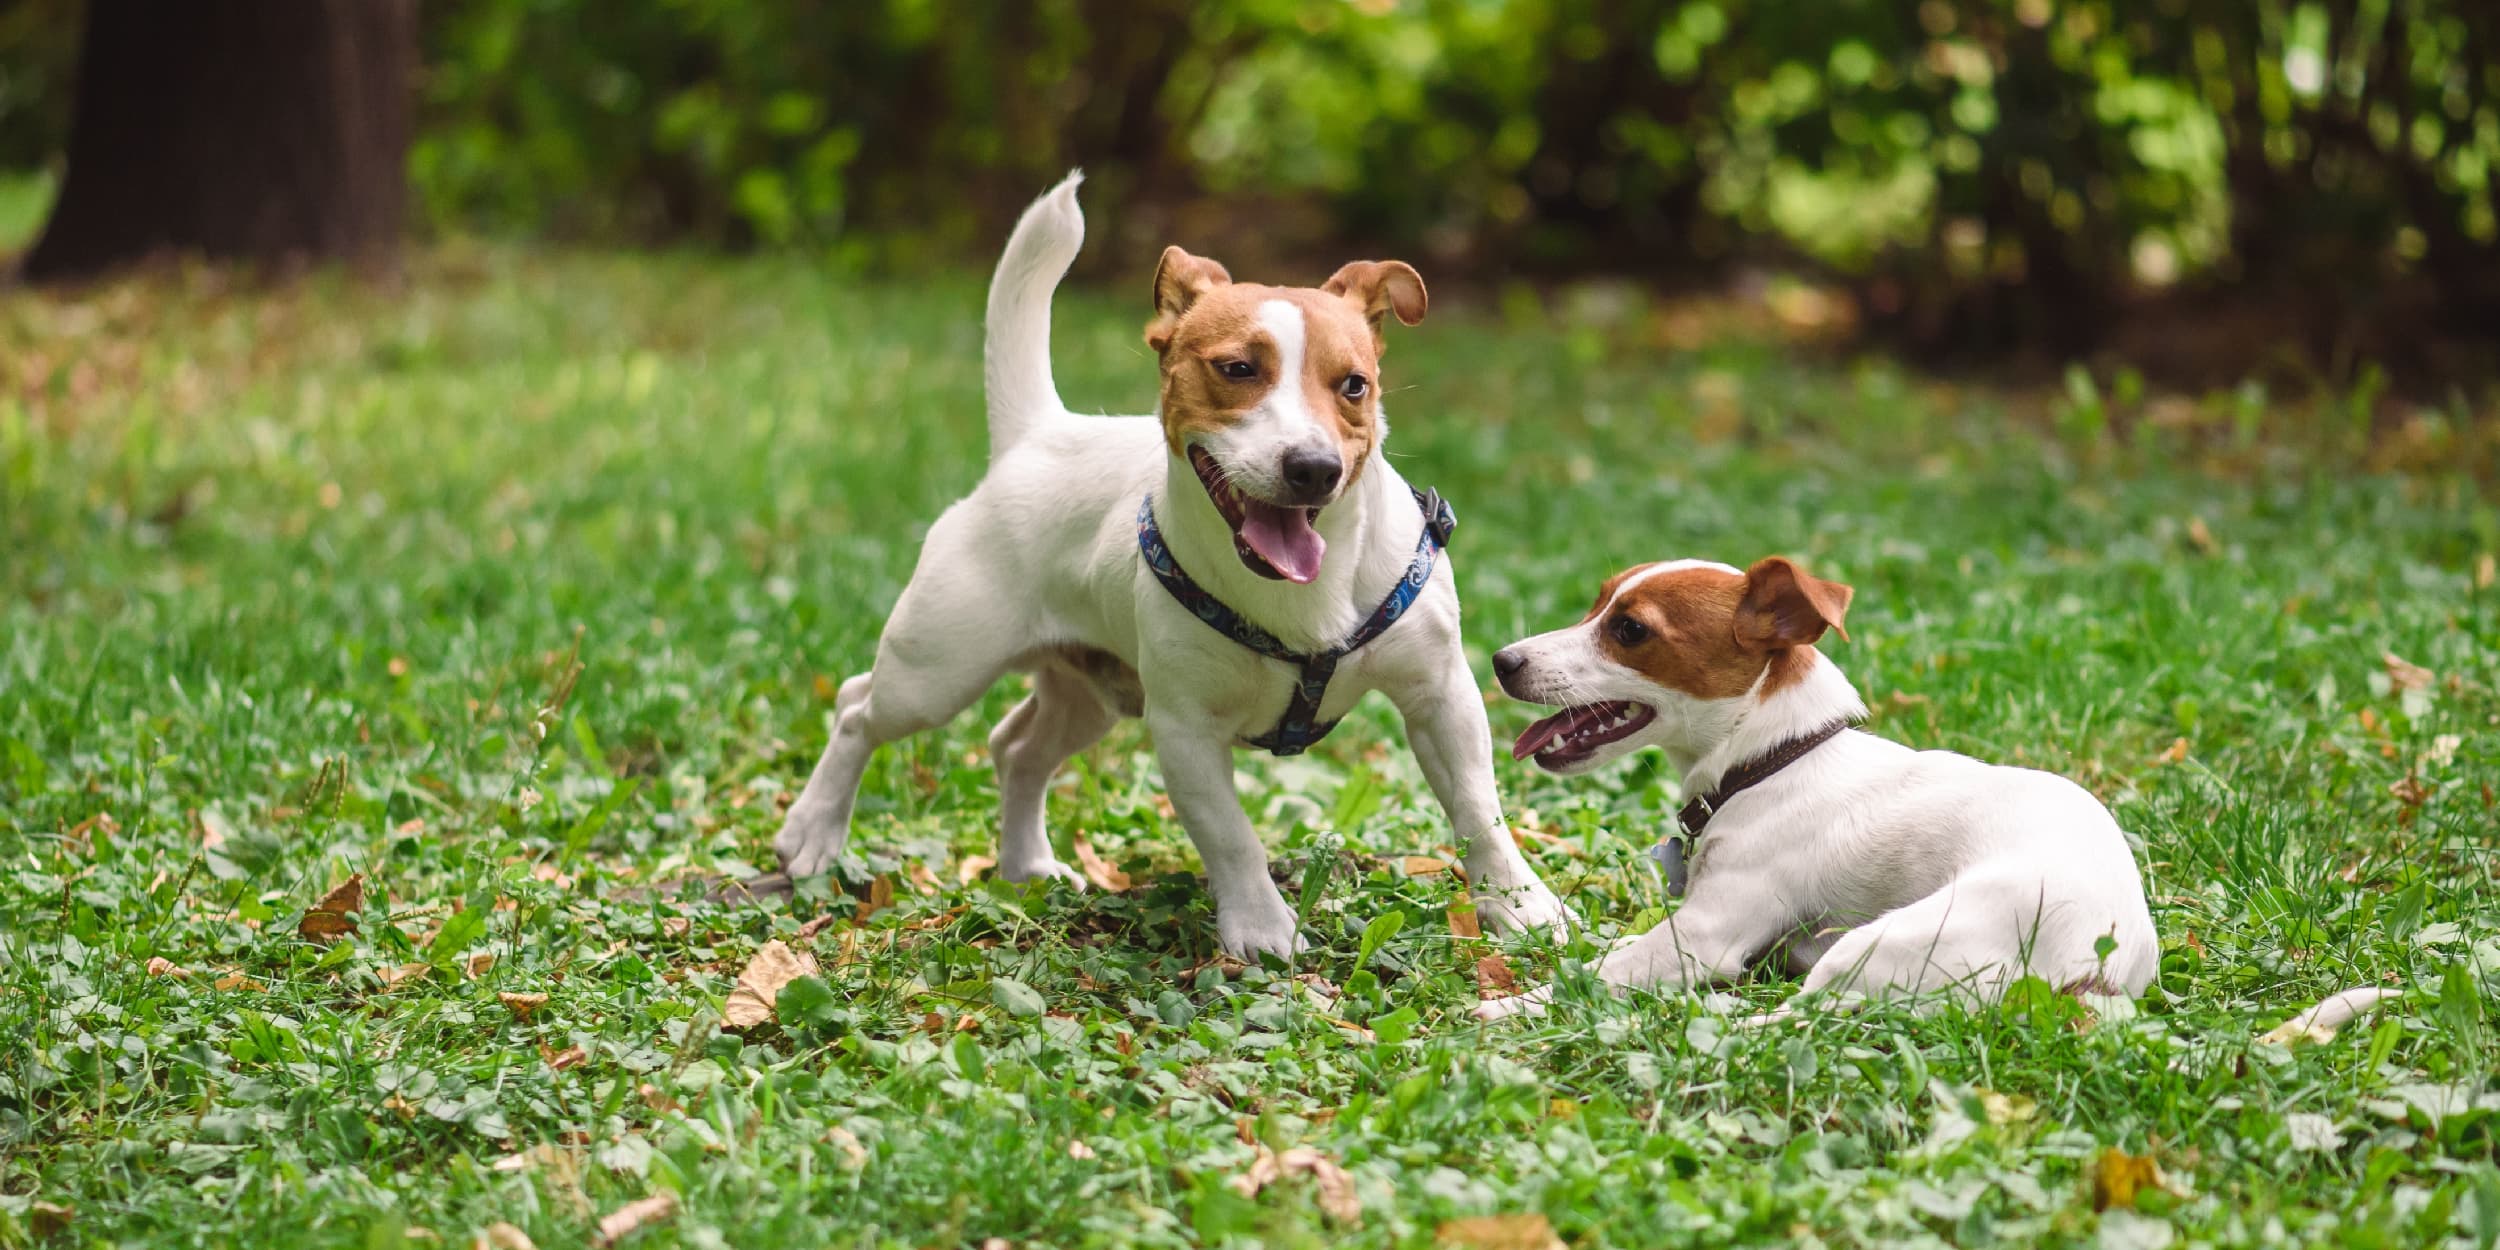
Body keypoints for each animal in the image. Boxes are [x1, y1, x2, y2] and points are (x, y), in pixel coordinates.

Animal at [770, 173, 1570, 955]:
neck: (1303, 597)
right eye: (1237, 369)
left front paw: (1518, 904)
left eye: (1354, 385)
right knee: (858, 709)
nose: (1313, 468)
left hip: (1088, 695)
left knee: (1017, 749)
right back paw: (812, 832)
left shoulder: (1441, 695)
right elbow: (1232, 837)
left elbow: (1478, 808)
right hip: (939, 670)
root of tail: (1036, 433)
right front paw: (1261, 929)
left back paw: (1027, 865)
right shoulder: (1185, 730)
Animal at [1470, 557, 2160, 1015]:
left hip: (1880, 942)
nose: (1502, 661)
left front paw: (1511, 1006)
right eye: (1595, 604)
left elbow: (1597, 972)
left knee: (1799, 1020)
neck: (1774, 758)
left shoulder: (1702, 936)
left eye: (1630, 630)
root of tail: (2103, 969)